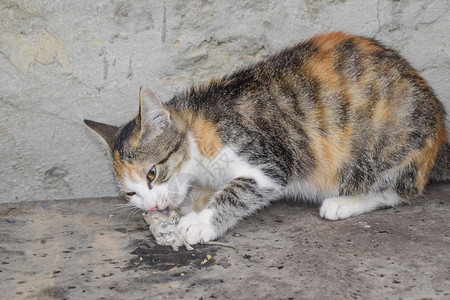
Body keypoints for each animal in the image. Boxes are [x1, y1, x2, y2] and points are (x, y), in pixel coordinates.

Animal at [85, 31, 450, 246]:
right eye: (130, 193)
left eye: (152, 173)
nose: (150, 206)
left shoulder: (270, 158)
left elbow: (238, 190)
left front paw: (200, 223)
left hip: (382, 146)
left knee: (399, 190)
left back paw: (344, 201)